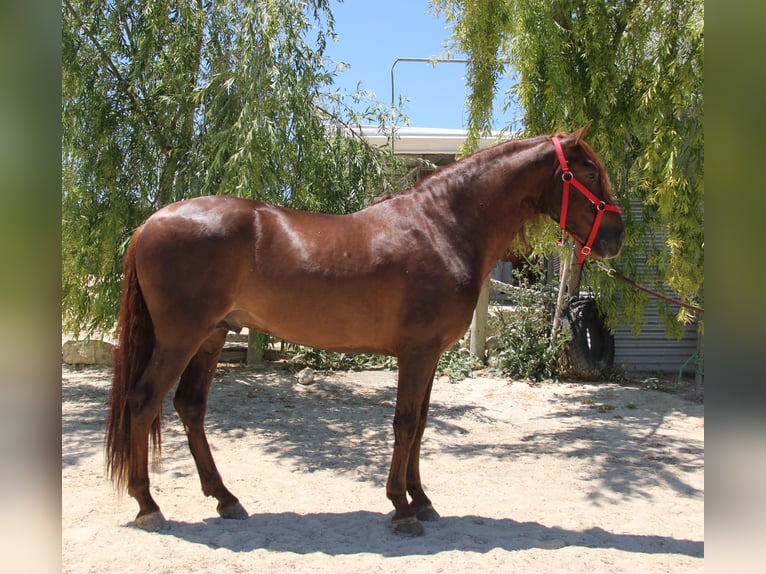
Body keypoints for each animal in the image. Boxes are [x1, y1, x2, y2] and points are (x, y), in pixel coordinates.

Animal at [106, 124, 624, 536]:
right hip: (180, 339)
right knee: (144, 400)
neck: (441, 228)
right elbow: (406, 423)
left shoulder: (429, 354)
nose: (617, 237)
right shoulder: (417, 353)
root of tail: (149, 224)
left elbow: (421, 424)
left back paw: (226, 499)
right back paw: (148, 505)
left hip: (211, 337)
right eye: (589, 173)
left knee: (189, 406)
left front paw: (422, 500)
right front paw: (402, 507)